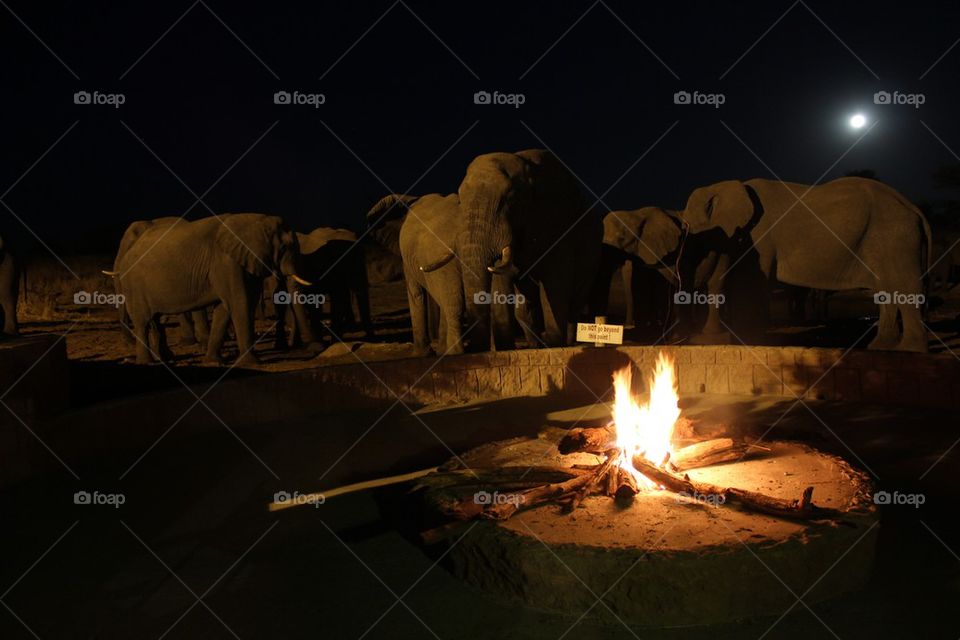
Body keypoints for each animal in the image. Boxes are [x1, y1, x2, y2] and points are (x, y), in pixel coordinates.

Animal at [458, 149, 602, 350]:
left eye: (510, 198)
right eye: (460, 199)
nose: (472, 348)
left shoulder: (557, 221)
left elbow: (556, 281)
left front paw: (554, 344)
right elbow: (500, 283)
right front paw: (505, 349)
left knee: (576, 299)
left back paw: (566, 343)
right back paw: (536, 344)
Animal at [681, 177, 932, 352]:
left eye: (692, 234)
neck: (728, 186)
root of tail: (913, 207)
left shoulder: (760, 237)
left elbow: (750, 284)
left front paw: (749, 340)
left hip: (896, 236)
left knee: (904, 286)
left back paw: (910, 350)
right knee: (886, 289)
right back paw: (881, 347)